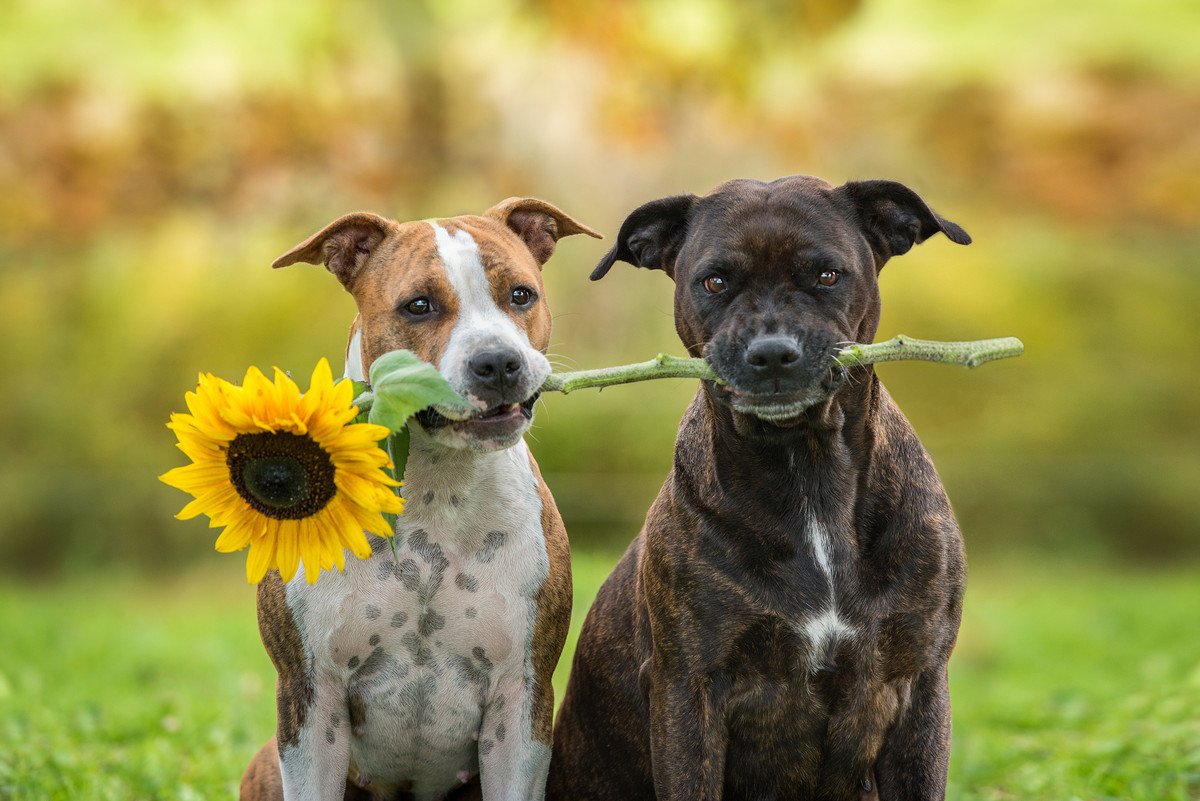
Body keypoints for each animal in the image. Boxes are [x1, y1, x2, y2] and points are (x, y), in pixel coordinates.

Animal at [240, 199, 600, 801]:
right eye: (419, 306)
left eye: (520, 294)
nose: (497, 362)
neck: (438, 483)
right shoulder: (310, 700)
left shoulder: (521, 703)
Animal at [549, 175, 969, 801]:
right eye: (715, 280)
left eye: (827, 274)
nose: (772, 352)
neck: (807, 470)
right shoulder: (689, 690)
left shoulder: (919, 687)